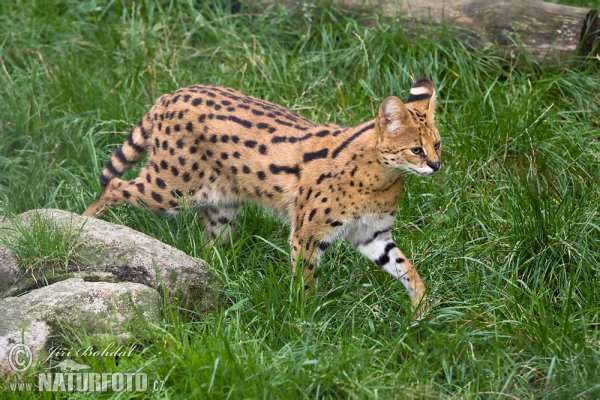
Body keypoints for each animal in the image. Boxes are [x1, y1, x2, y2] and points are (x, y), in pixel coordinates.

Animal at [83, 78, 440, 316]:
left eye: (437, 144)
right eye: (416, 150)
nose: (437, 166)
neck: (383, 178)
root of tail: (171, 95)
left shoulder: (372, 234)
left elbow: (406, 267)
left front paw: (421, 308)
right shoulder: (308, 234)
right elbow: (305, 281)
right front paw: (306, 321)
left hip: (222, 205)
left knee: (209, 244)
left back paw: (222, 279)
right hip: (172, 189)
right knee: (115, 184)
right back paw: (83, 224)